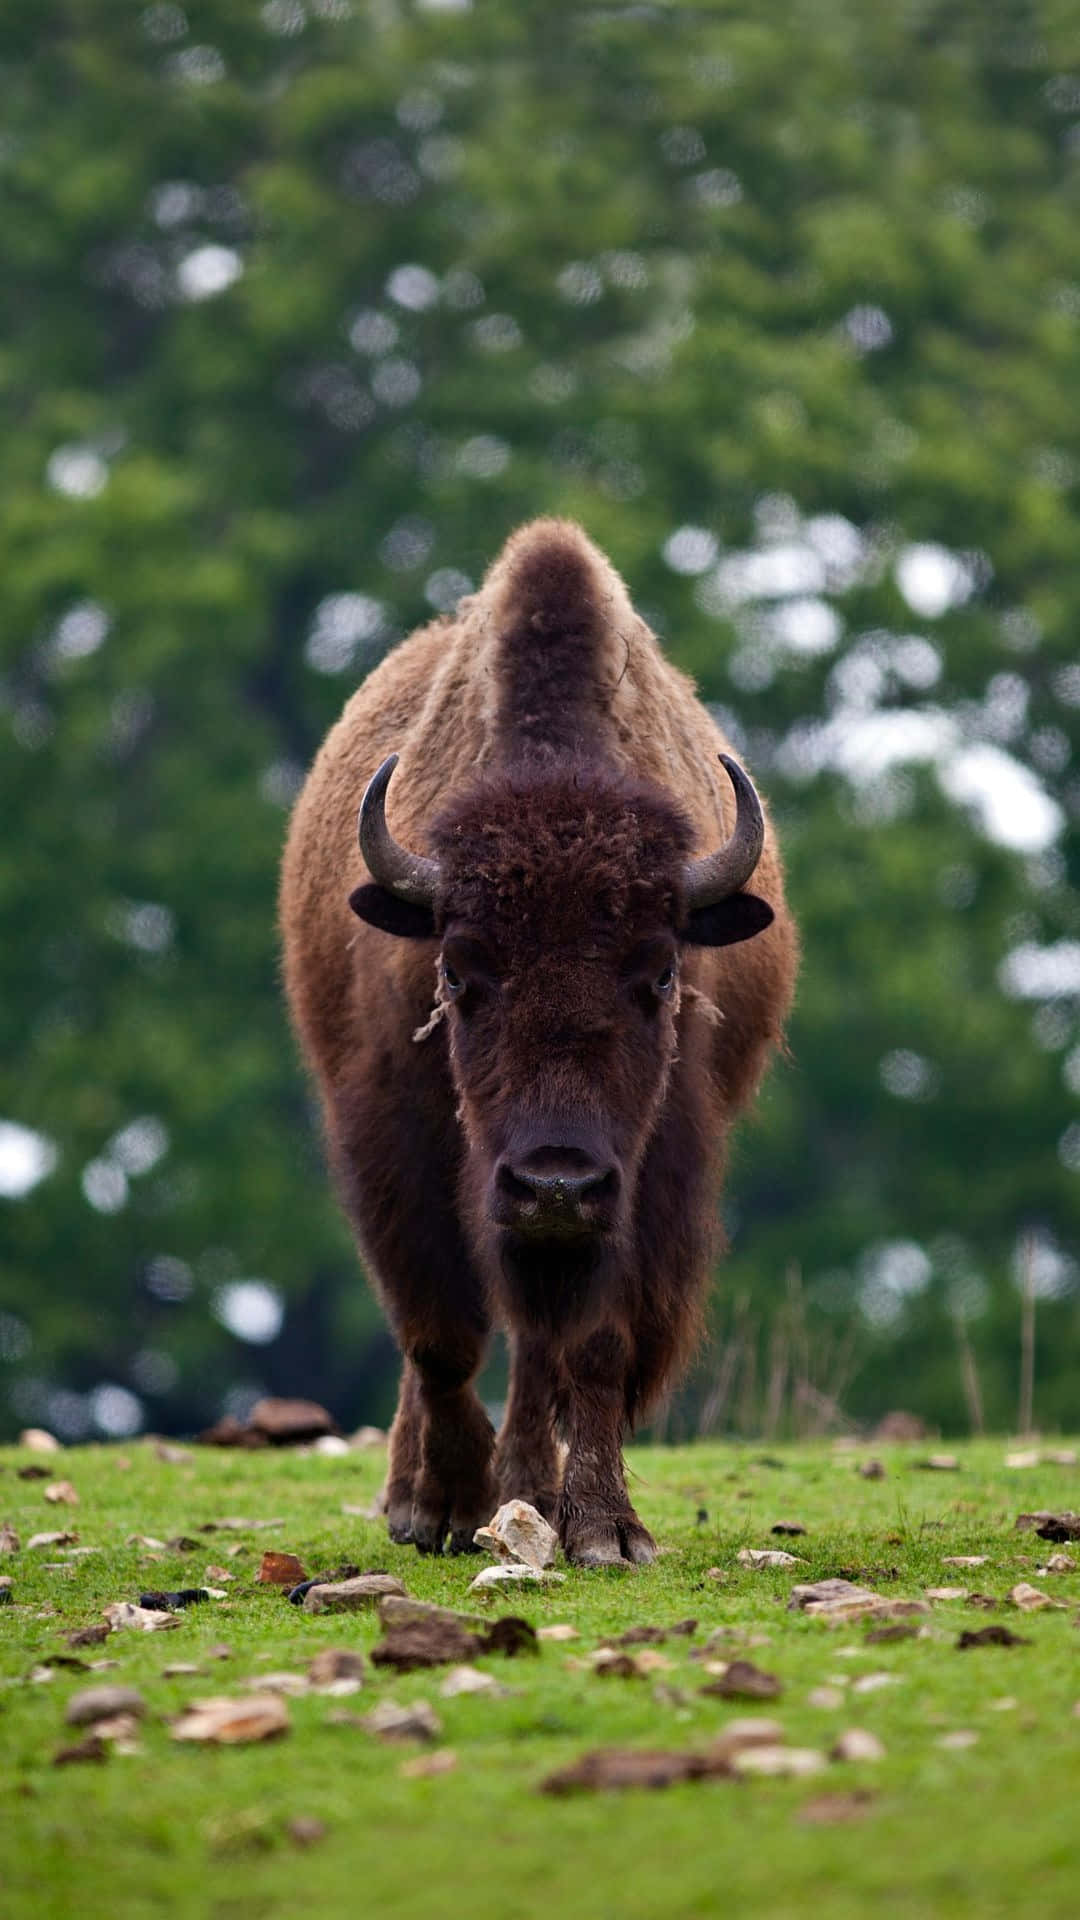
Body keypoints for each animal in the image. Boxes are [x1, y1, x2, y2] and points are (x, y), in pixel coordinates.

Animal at [282, 522, 795, 1559]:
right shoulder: (395, 1139)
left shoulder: (647, 1179)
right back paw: (432, 1498)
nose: (555, 1183)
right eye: (457, 973)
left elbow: (590, 1346)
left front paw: (602, 1527)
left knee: (537, 1355)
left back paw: (531, 1493)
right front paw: (445, 1505)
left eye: (662, 974)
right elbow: (438, 1332)